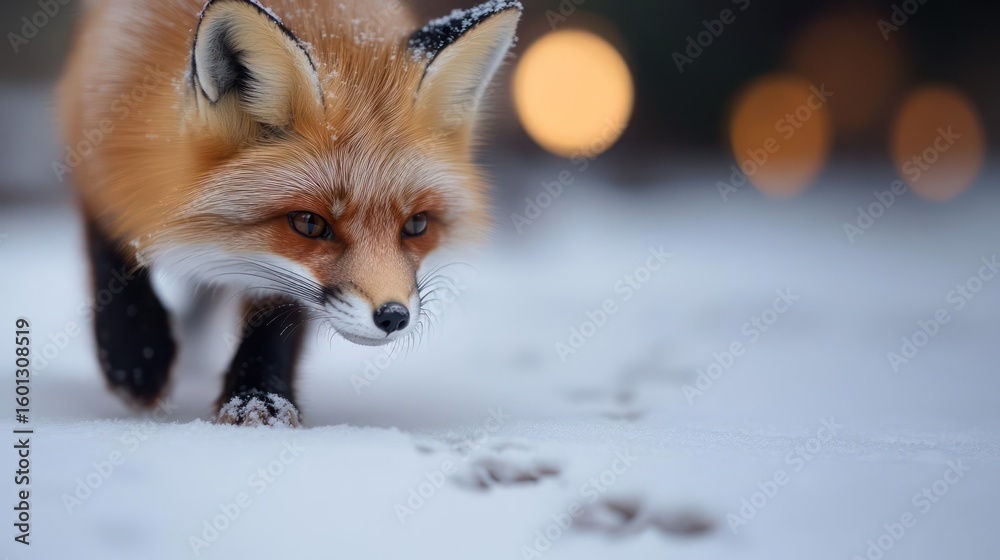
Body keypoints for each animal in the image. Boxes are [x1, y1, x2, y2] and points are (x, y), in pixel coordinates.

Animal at [56, 0, 522, 426]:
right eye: (309, 223)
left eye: (416, 224)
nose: (392, 316)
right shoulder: (96, 144)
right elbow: (114, 256)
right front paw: (136, 358)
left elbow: (275, 314)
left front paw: (259, 398)